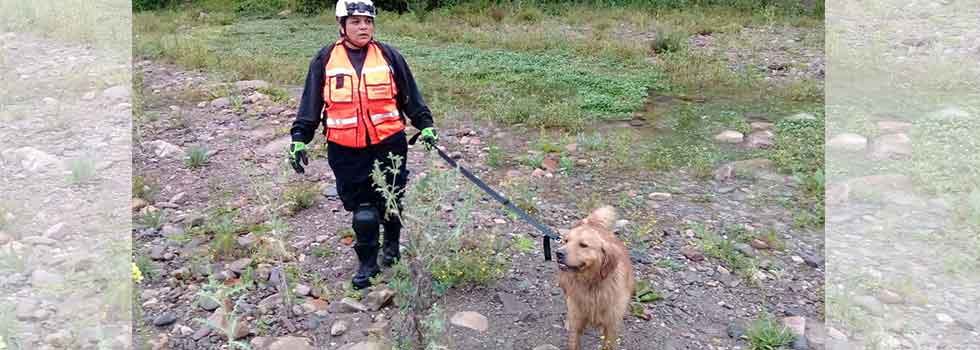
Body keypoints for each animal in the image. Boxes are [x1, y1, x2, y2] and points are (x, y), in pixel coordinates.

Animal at [560, 205, 636, 350]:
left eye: (583, 245)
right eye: (566, 241)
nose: (558, 253)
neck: (592, 285)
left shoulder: (612, 326)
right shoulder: (577, 321)